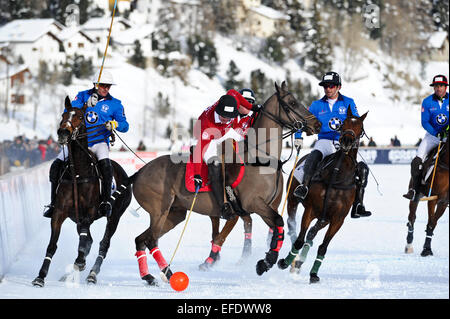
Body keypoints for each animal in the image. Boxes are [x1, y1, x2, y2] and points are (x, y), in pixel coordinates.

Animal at [31, 97, 132, 288]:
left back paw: (92, 273)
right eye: (63, 115)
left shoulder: (89, 213)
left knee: (103, 244)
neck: (78, 171)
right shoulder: (60, 212)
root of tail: (127, 177)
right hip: (75, 217)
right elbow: (52, 245)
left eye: (79, 116)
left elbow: (84, 241)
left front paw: (79, 261)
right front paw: (40, 276)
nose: (63, 132)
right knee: (90, 241)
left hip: (115, 216)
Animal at [124, 81, 320, 286]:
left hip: (174, 213)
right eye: (292, 102)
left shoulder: (266, 206)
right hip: (159, 209)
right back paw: (170, 274)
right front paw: (267, 261)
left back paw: (149, 276)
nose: (317, 124)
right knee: (151, 240)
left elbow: (277, 226)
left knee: (141, 239)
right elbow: (278, 221)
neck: (261, 157)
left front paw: (266, 262)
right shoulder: (253, 203)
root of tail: (138, 173)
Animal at [276, 108, 368, 284]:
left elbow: (323, 247)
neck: (337, 175)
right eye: (343, 123)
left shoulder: (338, 218)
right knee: (293, 226)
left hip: (324, 218)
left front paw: (313, 274)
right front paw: (285, 262)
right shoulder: (311, 209)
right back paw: (294, 260)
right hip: (293, 201)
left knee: (312, 233)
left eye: (360, 127)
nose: (346, 141)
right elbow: (299, 240)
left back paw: (301, 260)